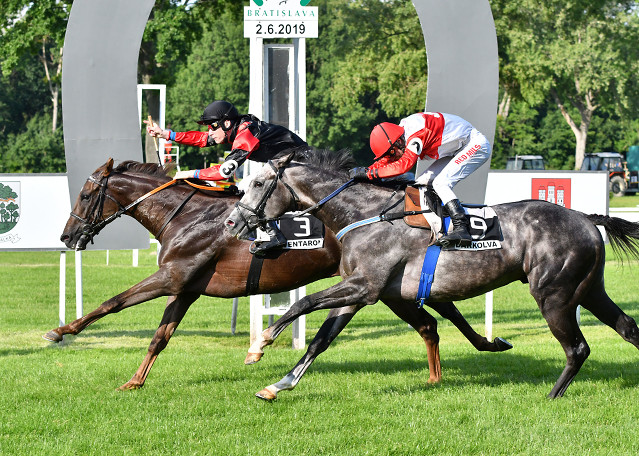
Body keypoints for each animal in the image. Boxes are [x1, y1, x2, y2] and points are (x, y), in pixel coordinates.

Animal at [48, 159, 510, 390]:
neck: (187, 217)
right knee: (433, 321)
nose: (67, 236)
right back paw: (454, 365)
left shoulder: (173, 277)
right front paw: (134, 381)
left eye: (85, 194)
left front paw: (61, 331)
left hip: (376, 285)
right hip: (388, 288)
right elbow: (160, 337)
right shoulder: (187, 288)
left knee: (439, 314)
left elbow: (113, 302)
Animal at [224, 149, 639, 400]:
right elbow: (320, 340)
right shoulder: (359, 291)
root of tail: (584, 217)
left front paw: (260, 344)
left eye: (257, 184)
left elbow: (304, 303)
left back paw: (551, 395)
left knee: (577, 348)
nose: (232, 222)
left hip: (554, 294)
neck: (364, 214)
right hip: (588, 289)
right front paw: (278, 385)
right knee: (627, 328)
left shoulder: (365, 286)